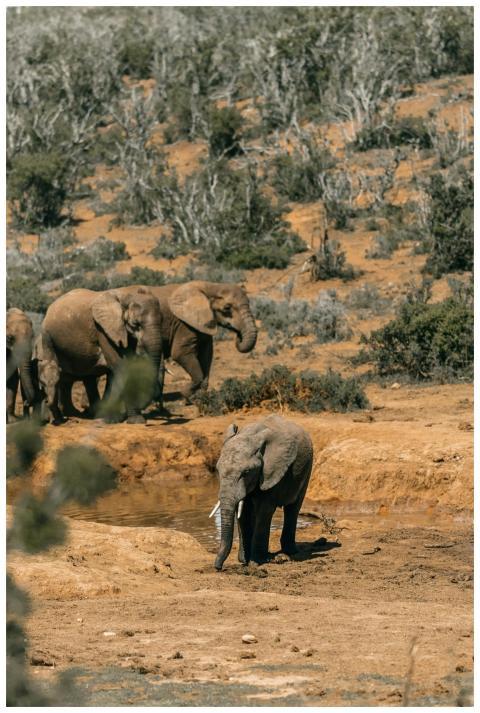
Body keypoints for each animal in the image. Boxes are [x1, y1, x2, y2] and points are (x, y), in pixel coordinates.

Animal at [39, 286, 163, 424]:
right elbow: (122, 366)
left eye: (162, 321)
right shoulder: (103, 330)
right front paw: (133, 421)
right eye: (136, 324)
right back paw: (59, 419)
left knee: (89, 377)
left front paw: (114, 419)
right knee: (52, 367)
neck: (124, 295)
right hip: (47, 336)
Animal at [211, 415, 313, 570]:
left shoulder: (272, 472)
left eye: (246, 472)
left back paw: (290, 552)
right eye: (217, 470)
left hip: (307, 468)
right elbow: (244, 511)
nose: (218, 567)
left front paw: (256, 561)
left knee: (293, 508)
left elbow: (264, 509)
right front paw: (244, 560)